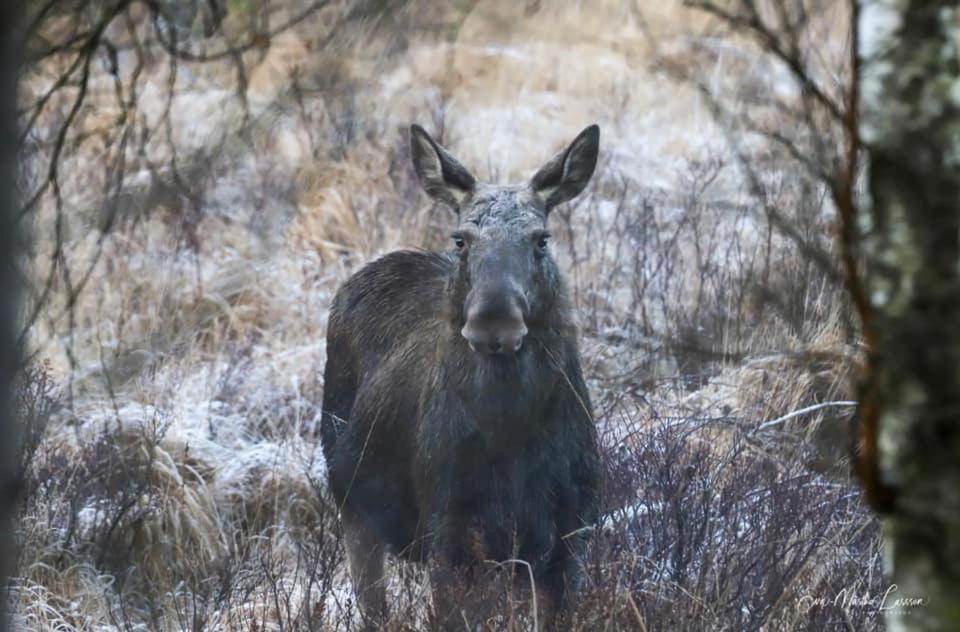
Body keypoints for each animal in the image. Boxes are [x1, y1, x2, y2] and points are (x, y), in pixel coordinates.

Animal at [326, 123, 604, 628]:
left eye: (541, 238)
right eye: (461, 239)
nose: (494, 320)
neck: (510, 436)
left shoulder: (571, 532)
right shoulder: (450, 531)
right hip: (350, 499)